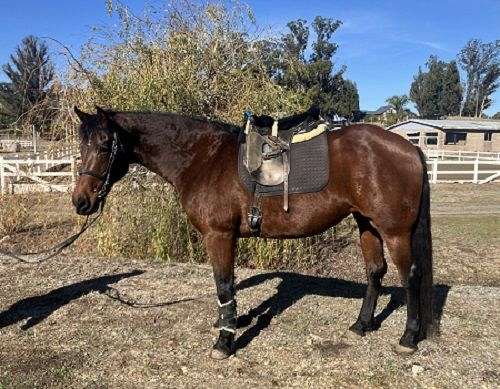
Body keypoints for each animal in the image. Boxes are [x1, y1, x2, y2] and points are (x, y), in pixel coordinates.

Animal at [71, 105, 434, 358]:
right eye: (81, 146)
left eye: (104, 145)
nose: (81, 201)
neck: (203, 158)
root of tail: (410, 148)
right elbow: (226, 287)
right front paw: (227, 324)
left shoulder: (219, 235)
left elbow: (223, 285)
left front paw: (224, 341)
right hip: (366, 224)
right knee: (375, 272)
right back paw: (361, 325)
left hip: (395, 232)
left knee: (410, 276)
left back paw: (407, 338)